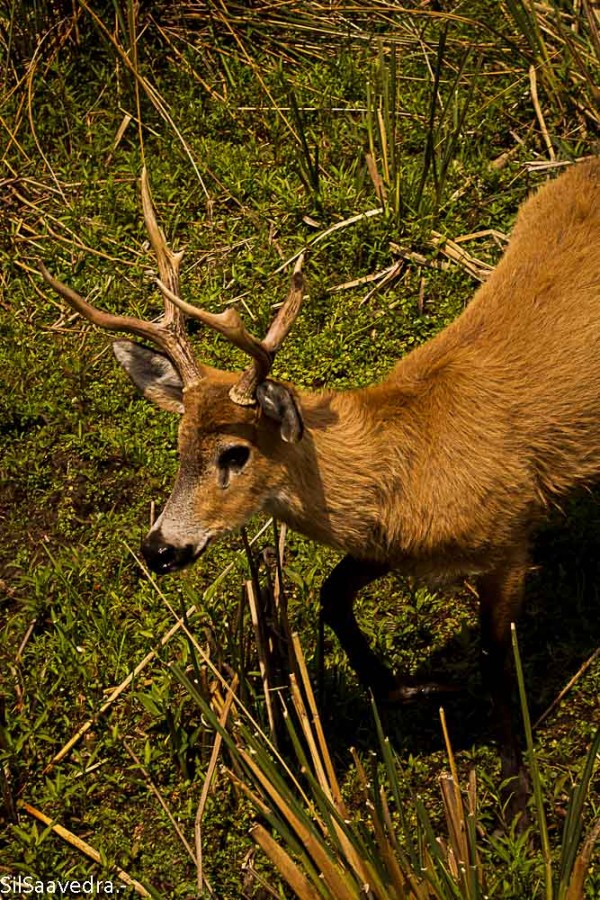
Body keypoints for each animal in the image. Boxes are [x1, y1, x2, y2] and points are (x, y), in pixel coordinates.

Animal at [39, 158, 600, 820]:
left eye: (235, 453)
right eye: (178, 449)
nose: (159, 548)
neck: (411, 461)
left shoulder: (510, 534)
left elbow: (494, 657)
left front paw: (516, 790)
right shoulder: (390, 545)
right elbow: (331, 596)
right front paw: (416, 687)